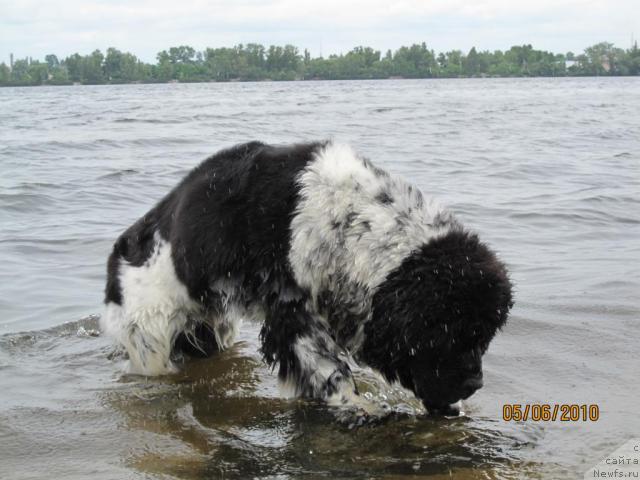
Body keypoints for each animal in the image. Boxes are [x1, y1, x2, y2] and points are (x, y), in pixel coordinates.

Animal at [105, 141, 516, 414]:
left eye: (484, 336)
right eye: (450, 334)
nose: (475, 384)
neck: (352, 223)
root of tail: (120, 248)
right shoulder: (291, 310)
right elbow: (327, 368)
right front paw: (357, 406)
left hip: (213, 326)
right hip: (150, 330)